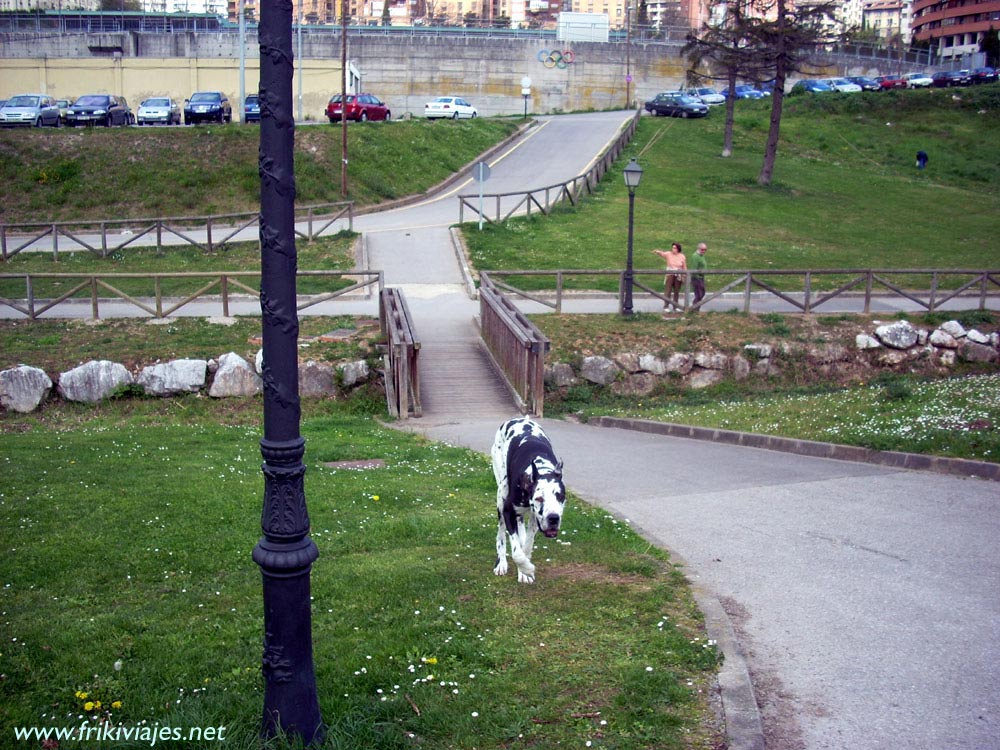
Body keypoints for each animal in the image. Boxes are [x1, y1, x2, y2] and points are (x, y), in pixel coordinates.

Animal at [490, 420, 564, 584]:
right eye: (539, 498)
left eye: (560, 496)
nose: (553, 518)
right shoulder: (508, 512)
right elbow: (517, 552)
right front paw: (527, 568)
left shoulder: (535, 518)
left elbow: (527, 545)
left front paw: (524, 570)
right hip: (501, 495)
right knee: (500, 534)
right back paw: (501, 563)